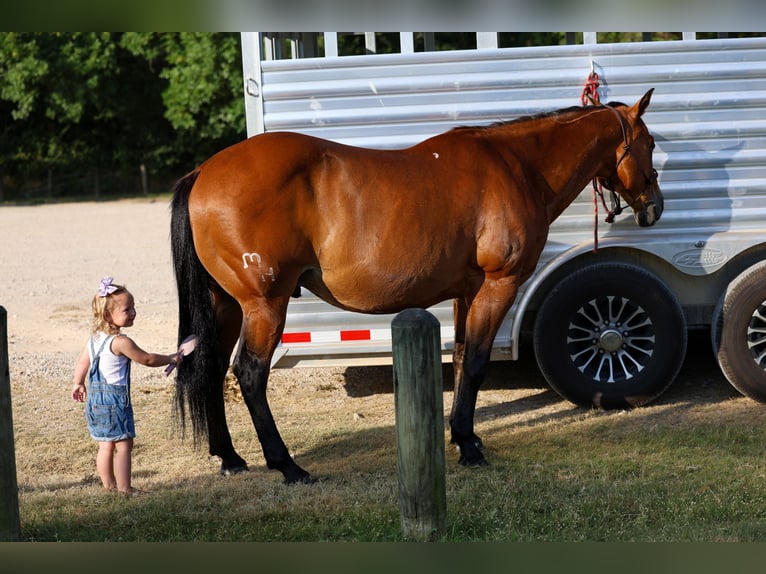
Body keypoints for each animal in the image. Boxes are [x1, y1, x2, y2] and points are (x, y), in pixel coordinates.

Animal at [170, 89, 662, 484]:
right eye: (651, 144)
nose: (654, 208)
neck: (517, 166)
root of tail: (204, 172)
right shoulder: (498, 286)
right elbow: (478, 362)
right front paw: (468, 447)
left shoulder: (469, 291)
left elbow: (462, 359)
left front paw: (465, 438)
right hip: (264, 305)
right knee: (250, 374)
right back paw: (287, 465)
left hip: (226, 305)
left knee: (212, 368)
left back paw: (230, 458)